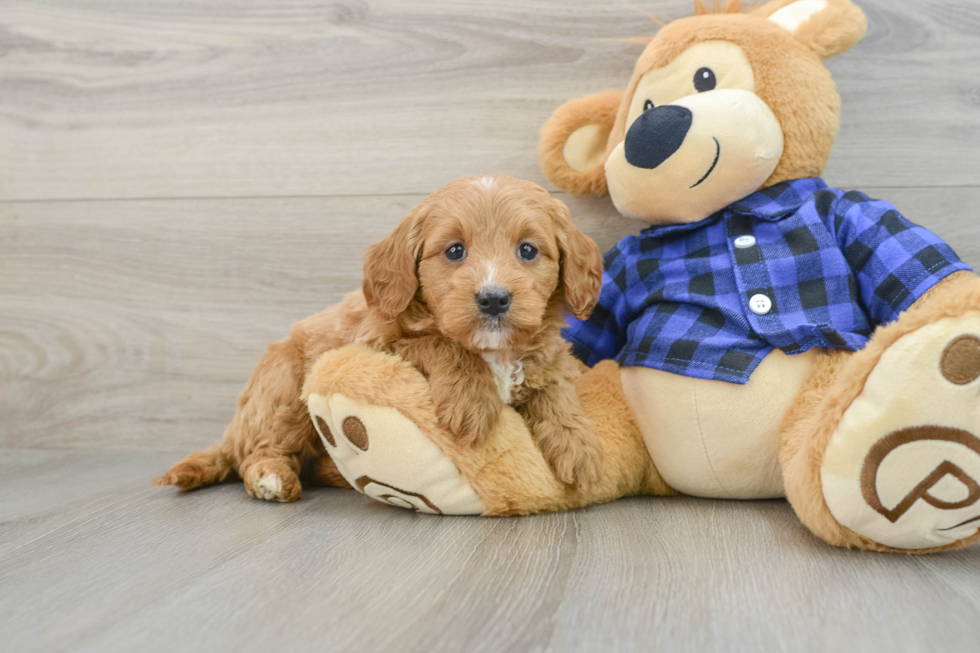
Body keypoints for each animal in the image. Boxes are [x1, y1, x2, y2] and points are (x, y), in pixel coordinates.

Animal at [155, 173, 604, 500]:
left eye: (528, 250)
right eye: (455, 251)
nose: (493, 299)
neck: (493, 351)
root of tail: (233, 429)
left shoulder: (546, 359)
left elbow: (556, 387)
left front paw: (579, 446)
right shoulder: (377, 343)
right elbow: (437, 342)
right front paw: (471, 400)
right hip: (284, 391)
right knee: (260, 449)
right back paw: (271, 477)